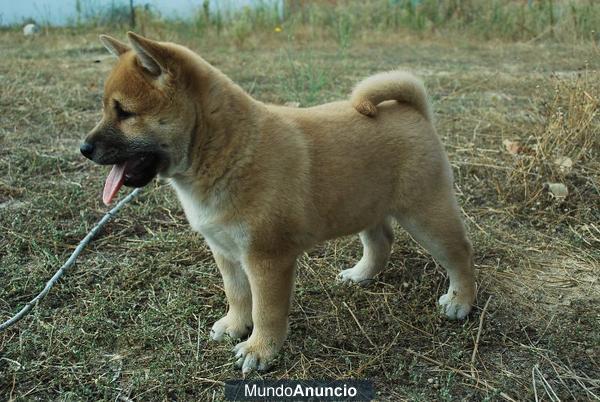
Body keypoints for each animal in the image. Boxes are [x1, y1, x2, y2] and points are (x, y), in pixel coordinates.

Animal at [82, 32, 476, 374]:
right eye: (105, 109)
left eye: (124, 112)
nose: (84, 148)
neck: (228, 150)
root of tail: (413, 110)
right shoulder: (225, 251)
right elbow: (237, 295)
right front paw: (235, 325)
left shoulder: (267, 259)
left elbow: (266, 311)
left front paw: (260, 350)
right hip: (365, 205)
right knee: (381, 242)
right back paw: (361, 274)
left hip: (426, 214)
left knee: (459, 252)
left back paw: (461, 301)